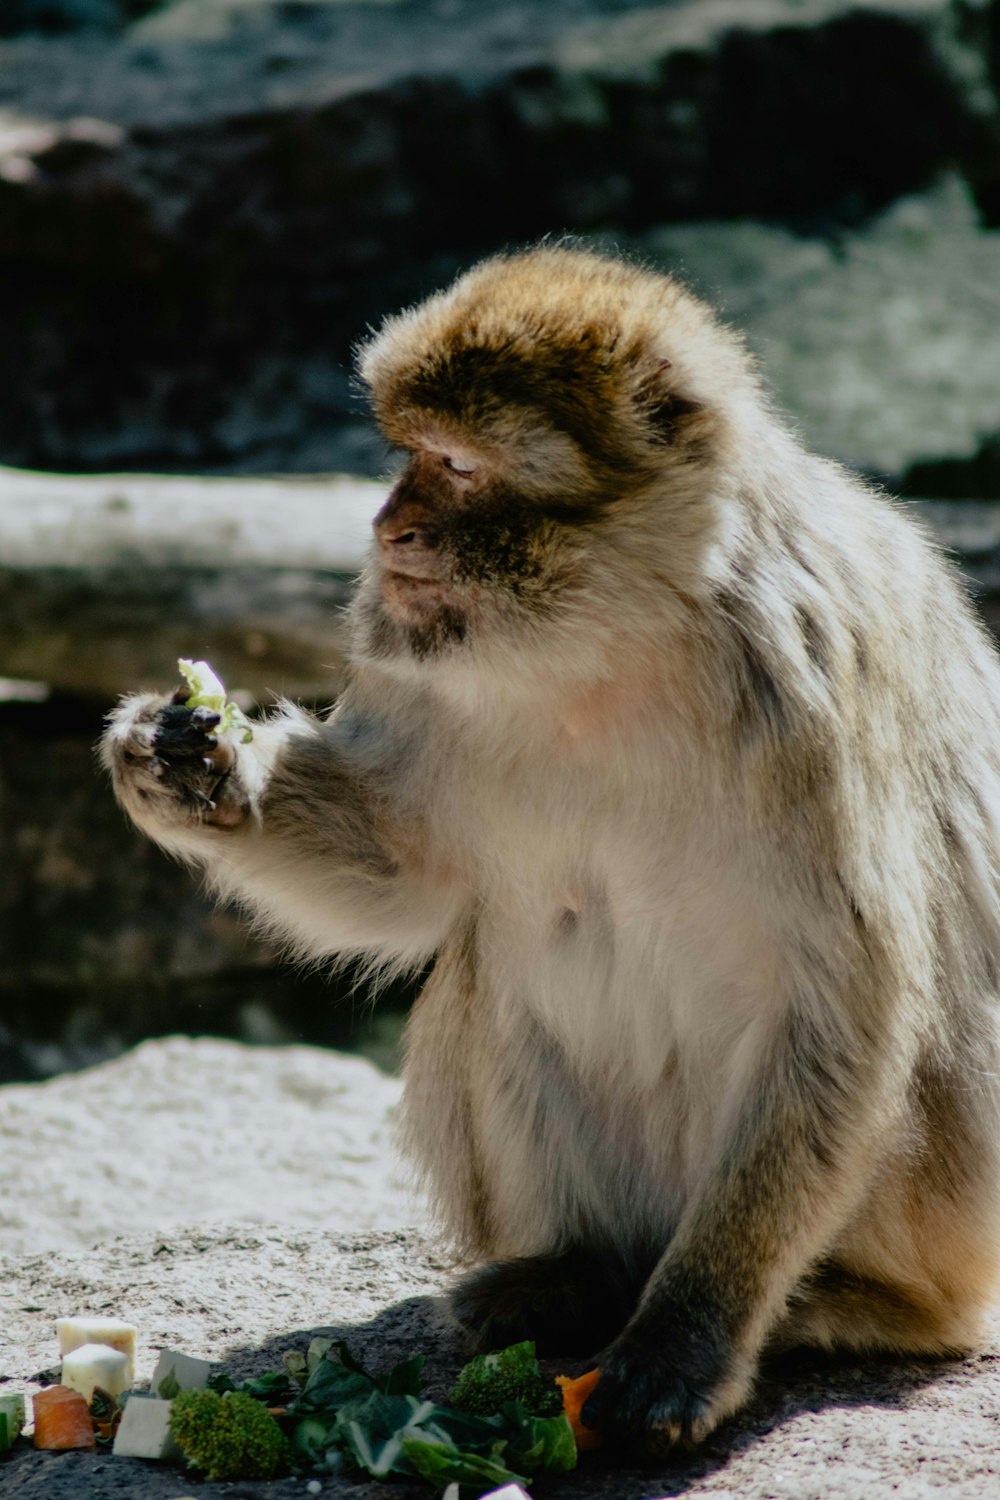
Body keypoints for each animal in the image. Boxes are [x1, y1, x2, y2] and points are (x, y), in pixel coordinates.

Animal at [99, 249, 1000, 1452]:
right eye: (405, 451)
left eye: (453, 464)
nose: (386, 530)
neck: (619, 637)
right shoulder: (410, 646)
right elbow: (412, 867)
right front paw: (187, 767)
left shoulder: (814, 668)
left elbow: (847, 999)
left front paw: (688, 1341)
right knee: (495, 988)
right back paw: (579, 1275)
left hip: (945, 1228)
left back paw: (839, 1306)